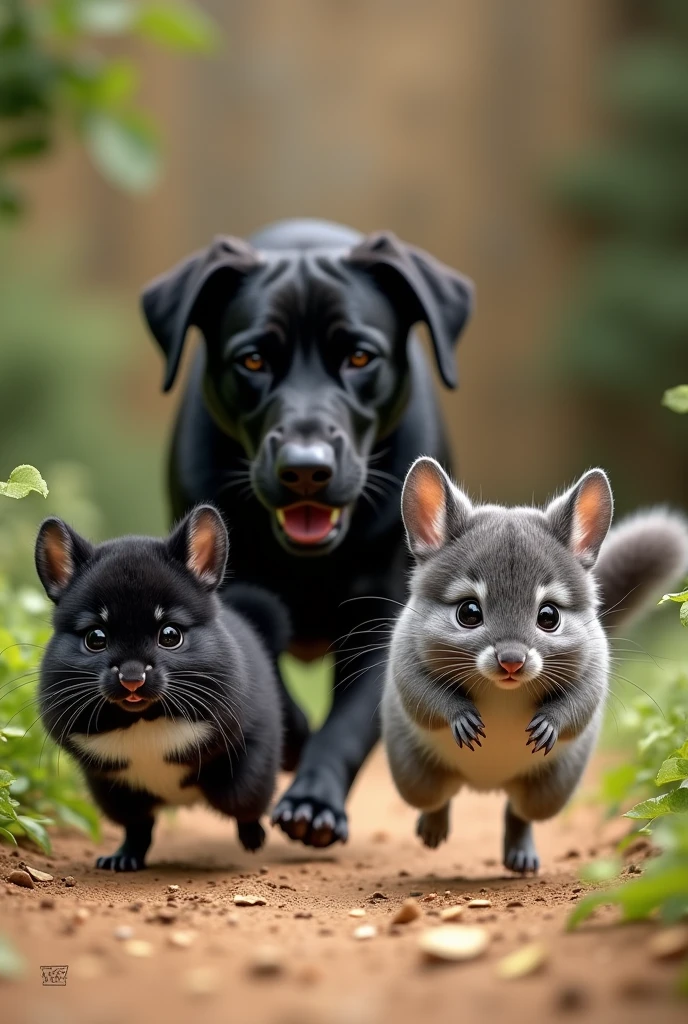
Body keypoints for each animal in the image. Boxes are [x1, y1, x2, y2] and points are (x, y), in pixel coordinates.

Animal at [139, 218, 473, 847]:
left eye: (361, 356)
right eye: (252, 362)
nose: (305, 467)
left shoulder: (383, 615)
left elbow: (347, 725)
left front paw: (314, 802)